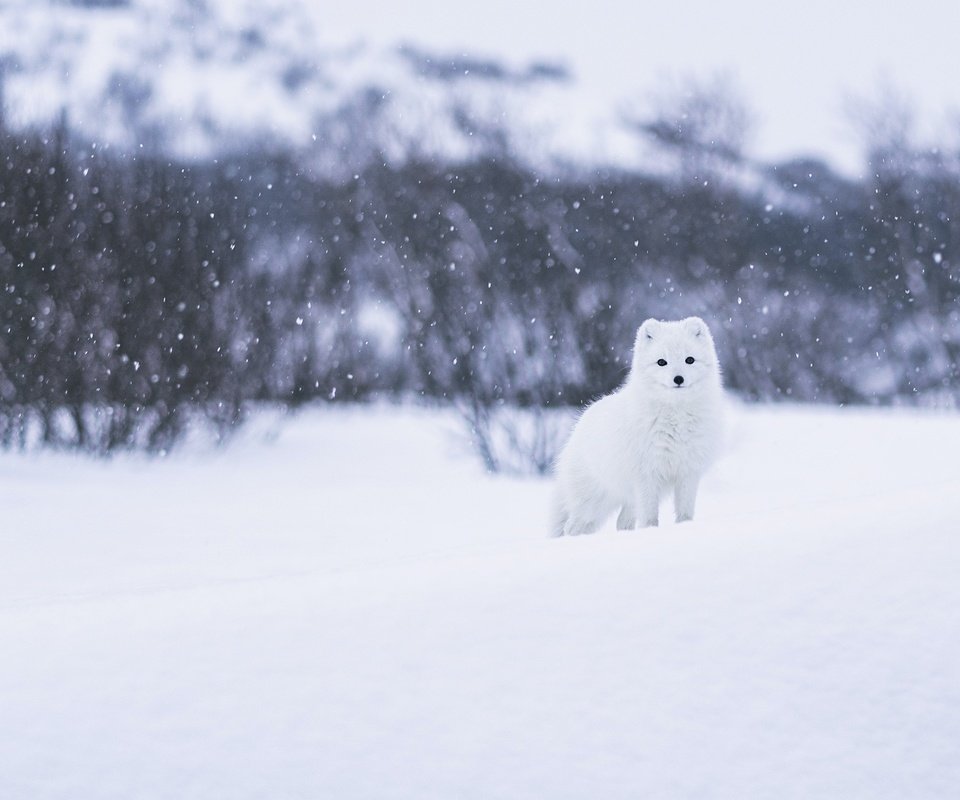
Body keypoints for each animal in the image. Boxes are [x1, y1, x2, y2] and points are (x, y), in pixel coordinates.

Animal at [552, 314, 724, 536]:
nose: (678, 379)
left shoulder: (688, 472)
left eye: (690, 360)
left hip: (626, 501)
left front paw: (684, 528)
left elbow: (685, 512)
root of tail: (578, 426)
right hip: (593, 503)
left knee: (621, 523)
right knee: (571, 527)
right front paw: (650, 533)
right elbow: (649, 517)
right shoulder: (646, 475)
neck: (676, 419)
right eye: (662, 362)